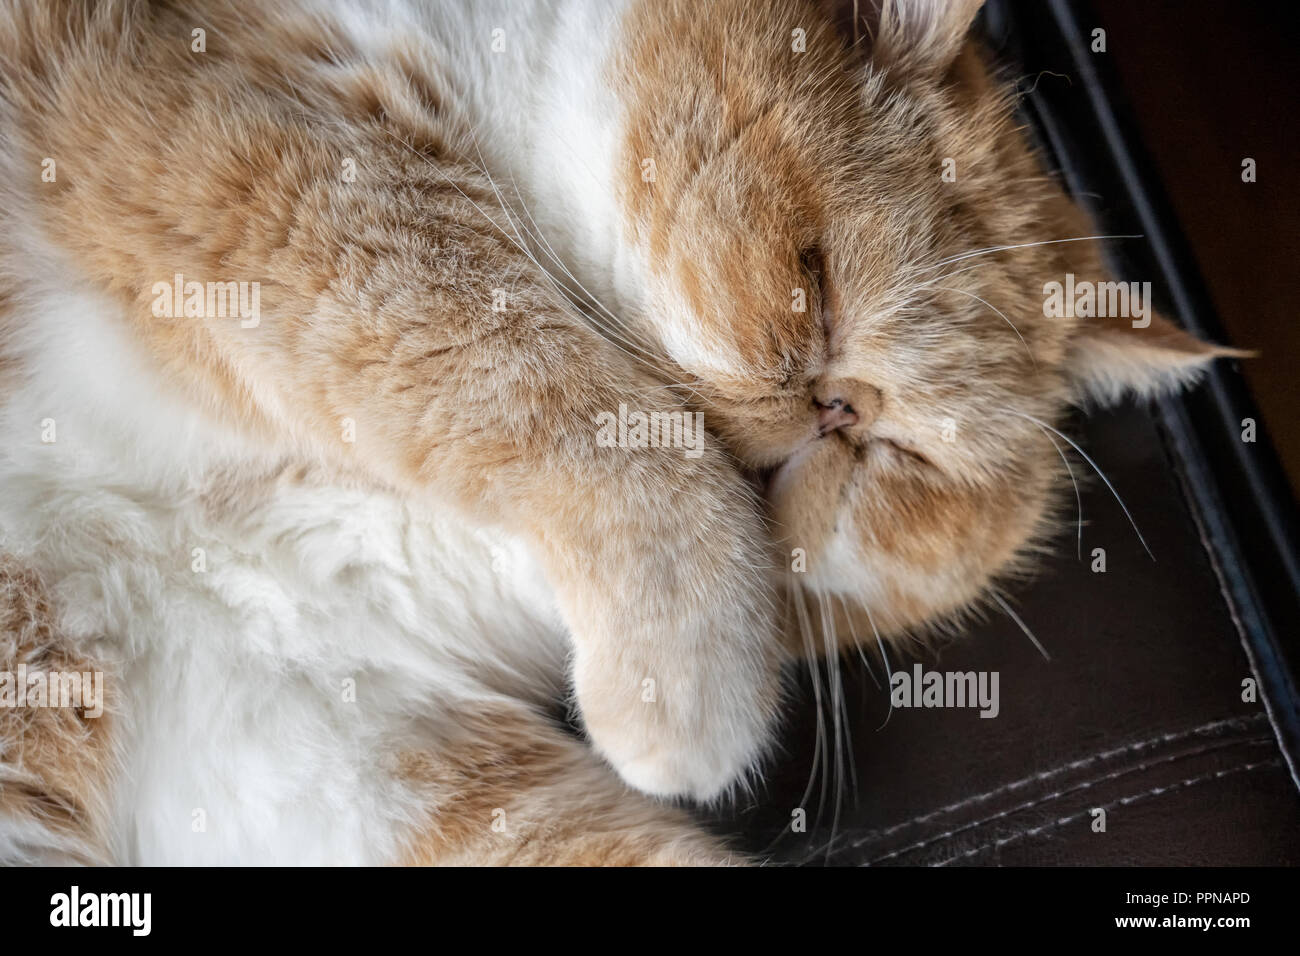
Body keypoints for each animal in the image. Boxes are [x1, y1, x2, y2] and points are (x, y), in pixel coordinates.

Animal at [0, 0, 1232, 868]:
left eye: (914, 458)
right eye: (818, 282)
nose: (838, 412)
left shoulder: (317, 739)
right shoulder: (251, 126)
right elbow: (546, 376)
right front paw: (690, 690)